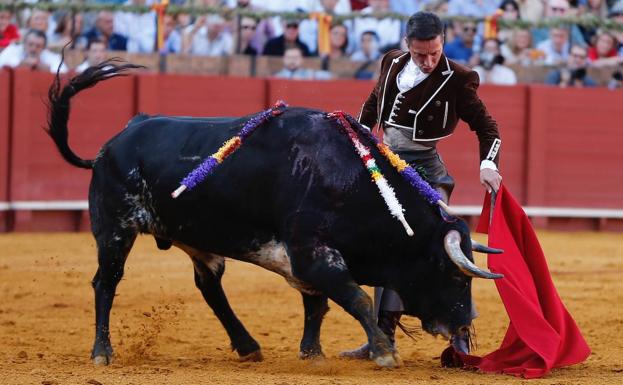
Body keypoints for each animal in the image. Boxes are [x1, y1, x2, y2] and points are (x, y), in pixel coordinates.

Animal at [45, 61, 502, 368]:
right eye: (456, 275)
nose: (464, 328)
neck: (347, 177)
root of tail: (113, 142)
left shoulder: (308, 260)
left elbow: (318, 304)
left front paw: (313, 353)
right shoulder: (312, 253)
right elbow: (352, 297)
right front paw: (384, 353)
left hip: (196, 238)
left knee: (210, 287)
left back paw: (248, 347)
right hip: (114, 229)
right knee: (106, 283)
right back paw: (102, 352)